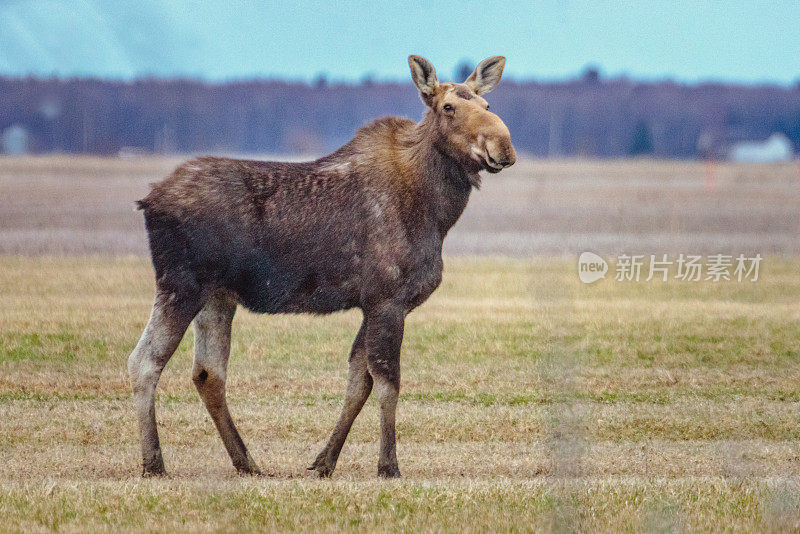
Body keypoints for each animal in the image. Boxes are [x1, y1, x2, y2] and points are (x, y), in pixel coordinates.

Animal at [128, 55, 516, 482]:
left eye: (487, 105)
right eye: (448, 107)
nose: (503, 146)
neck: (437, 213)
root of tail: (149, 201)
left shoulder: (374, 304)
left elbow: (358, 382)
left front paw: (324, 462)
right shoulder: (387, 299)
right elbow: (387, 383)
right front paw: (388, 465)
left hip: (217, 296)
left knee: (208, 374)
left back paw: (246, 462)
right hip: (182, 285)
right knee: (144, 362)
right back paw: (154, 463)